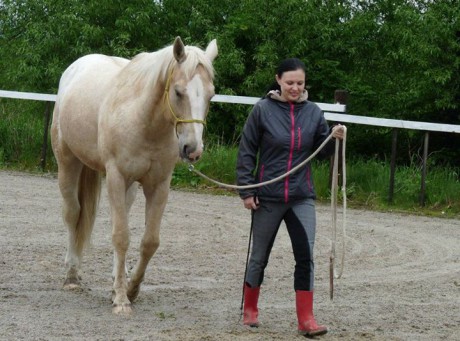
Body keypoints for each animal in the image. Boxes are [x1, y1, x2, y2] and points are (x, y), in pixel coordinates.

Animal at [51, 35, 218, 312]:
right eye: (178, 92)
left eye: (211, 95)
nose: (192, 150)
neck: (143, 120)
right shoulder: (116, 177)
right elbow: (120, 236)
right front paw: (121, 300)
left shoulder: (158, 186)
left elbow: (149, 241)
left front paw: (131, 289)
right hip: (68, 162)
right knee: (73, 213)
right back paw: (72, 275)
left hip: (128, 188)